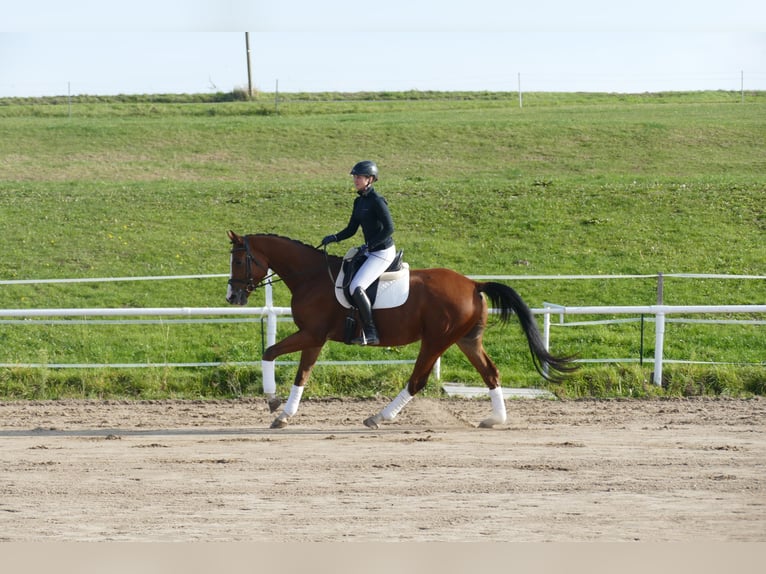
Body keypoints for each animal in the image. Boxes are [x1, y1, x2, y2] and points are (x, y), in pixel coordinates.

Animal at [225, 232, 580, 430]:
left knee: (417, 381)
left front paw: (272, 402)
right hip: (466, 340)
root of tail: (473, 284)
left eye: (240, 260)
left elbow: (270, 352)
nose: (232, 297)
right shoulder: (315, 338)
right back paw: (496, 420)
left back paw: (379, 417)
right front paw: (283, 413)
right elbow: (301, 374)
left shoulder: (312, 334)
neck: (311, 275)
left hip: (436, 340)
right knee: (490, 373)